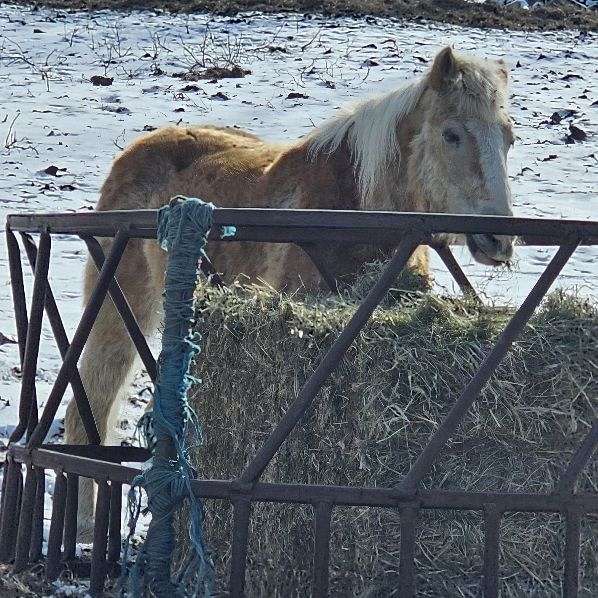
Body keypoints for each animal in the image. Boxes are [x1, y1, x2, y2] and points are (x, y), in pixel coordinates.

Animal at [64, 47, 516, 540]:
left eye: (508, 138)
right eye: (452, 134)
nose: (499, 239)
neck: (347, 209)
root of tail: (134, 153)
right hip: (119, 309)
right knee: (89, 409)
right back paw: (83, 530)